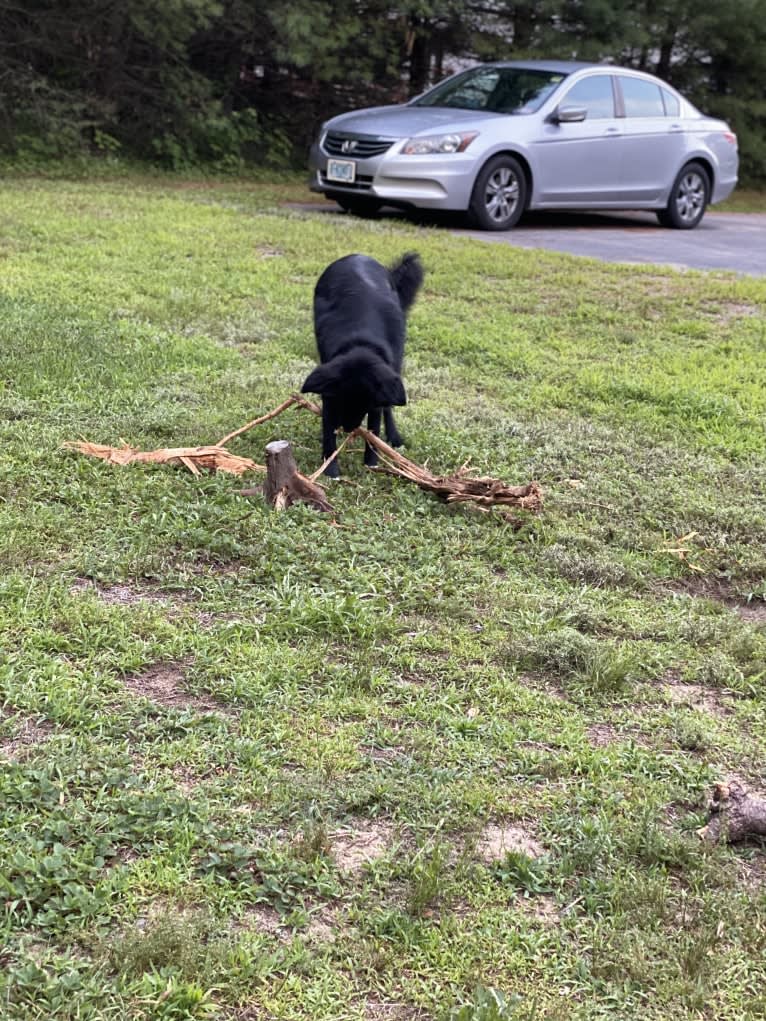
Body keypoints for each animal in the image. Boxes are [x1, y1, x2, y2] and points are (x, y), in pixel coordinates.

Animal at [302, 255, 422, 477]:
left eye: (364, 405)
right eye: (342, 402)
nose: (348, 428)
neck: (361, 340)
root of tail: (356, 255)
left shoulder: (382, 388)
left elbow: (375, 425)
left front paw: (371, 463)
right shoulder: (329, 387)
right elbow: (328, 428)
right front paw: (331, 469)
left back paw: (394, 437)